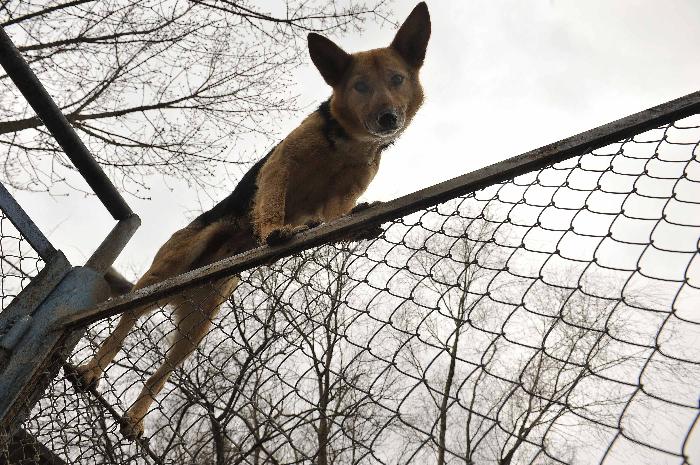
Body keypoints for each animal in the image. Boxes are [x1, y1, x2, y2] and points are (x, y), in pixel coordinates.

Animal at [74, 2, 430, 438]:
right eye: (360, 86)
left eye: (397, 79)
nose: (387, 118)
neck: (345, 144)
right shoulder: (280, 168)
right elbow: (272, 203)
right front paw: (276, 231)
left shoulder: (338, 199)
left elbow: (335, 218)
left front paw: (356, 223)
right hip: (167, 269)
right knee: (124, 324)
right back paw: (91, 370)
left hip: (197, 326)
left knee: (162, 373)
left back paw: (136, 416)